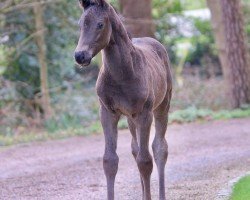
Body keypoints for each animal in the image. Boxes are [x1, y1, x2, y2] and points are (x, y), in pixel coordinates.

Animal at [74, 0, 172, 199]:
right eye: (80, 24)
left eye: (100, 24)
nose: (80, 56)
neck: (123, 74)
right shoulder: (107, 112)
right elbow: (110, 161)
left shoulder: (144, 114)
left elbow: (145, 160)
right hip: (130, 118)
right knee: (136, 149)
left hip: (162, 107)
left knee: (159, 148)